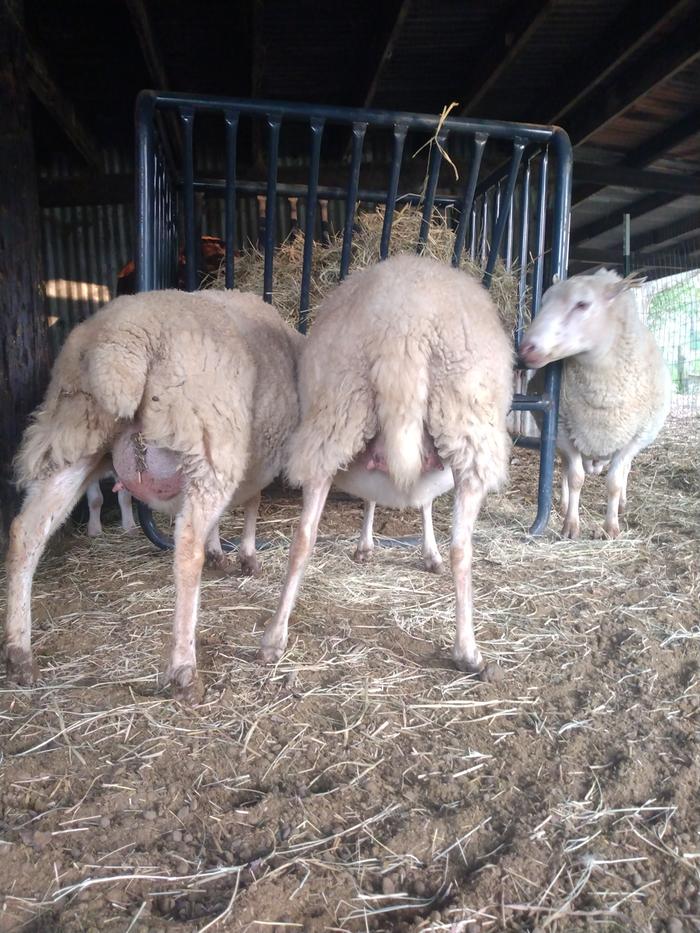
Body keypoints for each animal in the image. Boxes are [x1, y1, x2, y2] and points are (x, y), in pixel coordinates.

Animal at [5, 292, 302, 700]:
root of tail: (120, 343)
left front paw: (221, 552)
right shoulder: (248, 458)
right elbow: (252, 502)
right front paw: (245, 556)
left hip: (73, 434)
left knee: (27, 532)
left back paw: (18, 652)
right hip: (205, 441)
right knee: (186, 551)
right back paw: (184, 669)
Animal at [260, 255, 512, 676]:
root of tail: (404, 328)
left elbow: (377, 498)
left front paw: (367, 545)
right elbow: (424, 503)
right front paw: (427, 552)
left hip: (337, 414)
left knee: (303, 537)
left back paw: (274, 636)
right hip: (466, 431)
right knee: (462, 547)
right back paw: (468, 651)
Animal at [520, 264, 672, 540]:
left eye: (582, 304)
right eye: (544, 301)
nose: (525, 349)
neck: (602, 392)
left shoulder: (634, 438)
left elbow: (614, 482)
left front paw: (610, 527)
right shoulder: (563, 431)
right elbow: (575, 477)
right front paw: (570, 525)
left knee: (624, 472)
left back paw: (621, 504)